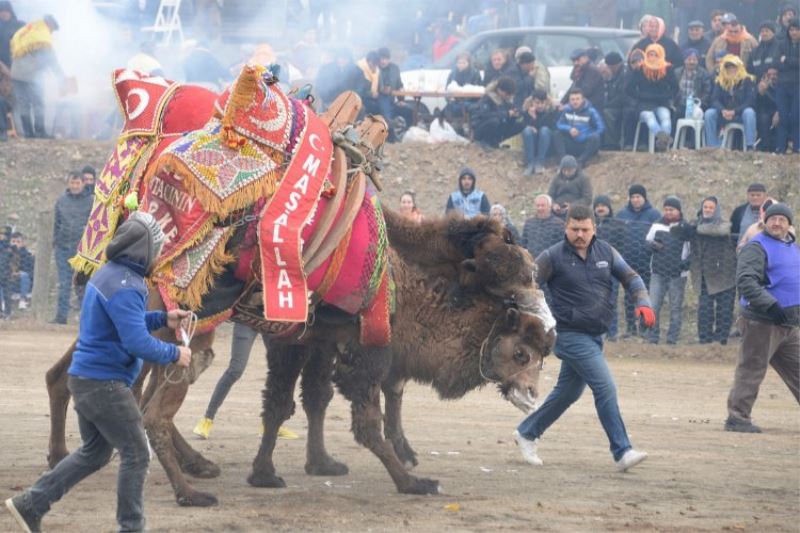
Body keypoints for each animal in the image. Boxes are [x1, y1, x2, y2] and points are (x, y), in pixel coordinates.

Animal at [45, 64, 556, 504]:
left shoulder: (310, 338)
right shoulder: (357, 348)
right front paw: (412, 480)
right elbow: (359, 420)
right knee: (142, 397)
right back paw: (182, 486)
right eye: (522, 353)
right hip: (189, 314)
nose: (533, 392)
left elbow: (300, 401)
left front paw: (298, 467)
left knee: (91, 378)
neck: (398, 276)